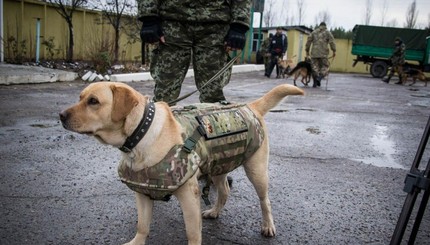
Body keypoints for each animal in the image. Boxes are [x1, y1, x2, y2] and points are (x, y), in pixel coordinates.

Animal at [59, 83, 302, 245]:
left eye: (93, 101)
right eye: (80, 97)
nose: (61, 115)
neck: (141, 133)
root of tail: (250, 106)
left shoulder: (188, 194)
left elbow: (192, 233)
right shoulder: (142, 193)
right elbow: (142, 225)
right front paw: (137, 241)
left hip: (256, 170)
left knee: (264, 200)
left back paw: (267, 225)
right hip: (218, 165)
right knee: (224, 190)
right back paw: (215, 211)